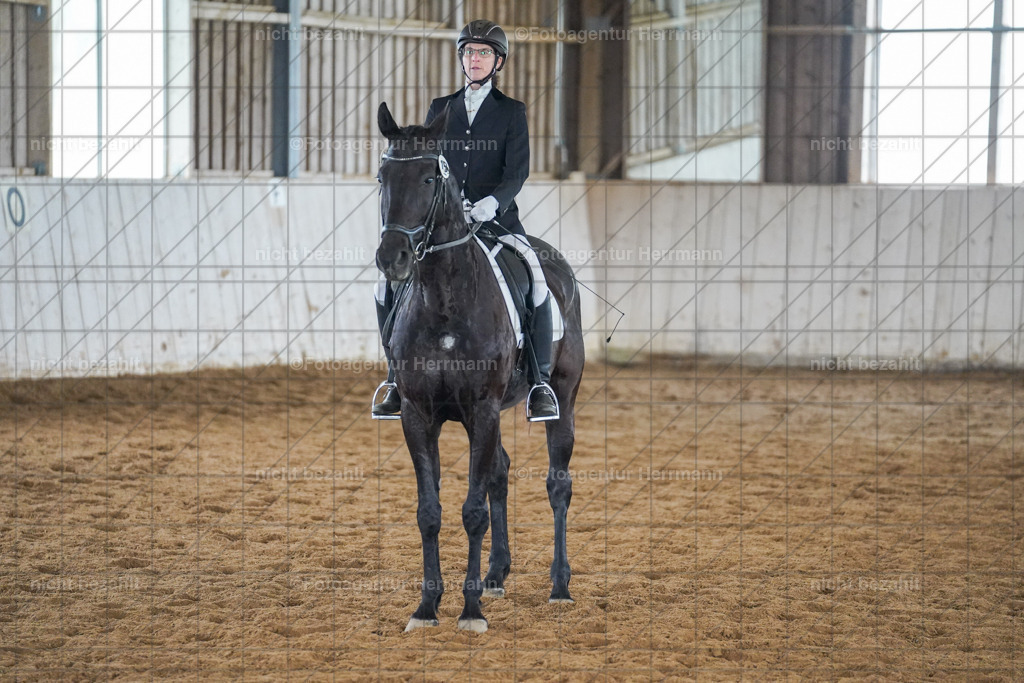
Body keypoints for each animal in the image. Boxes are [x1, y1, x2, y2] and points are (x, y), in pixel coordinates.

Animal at [374, 101, 585, 633]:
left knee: (558, 485)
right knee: (500, 473)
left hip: (562, 397)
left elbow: (472, 511)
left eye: (430, 177)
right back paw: (495, 574)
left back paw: (559, 586)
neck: (444, 300)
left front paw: (469, 612)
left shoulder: (482, 409)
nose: (392, 259)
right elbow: (430, 511)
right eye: (383, 176)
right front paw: (426, 607)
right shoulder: (418, 415)